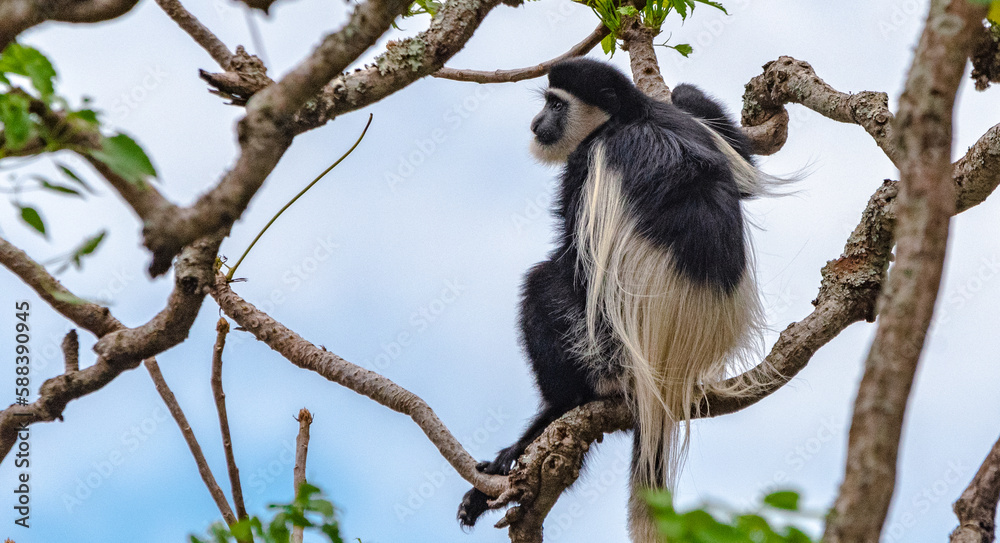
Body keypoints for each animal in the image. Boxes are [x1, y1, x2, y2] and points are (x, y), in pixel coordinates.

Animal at [458, 58, 780, 542]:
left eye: (556, 105)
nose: (535, 124)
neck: (630, 115)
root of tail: (669, 372)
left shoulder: (589, 164)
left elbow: (576, 261)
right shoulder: (694, 128)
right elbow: (744, 175)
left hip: (608, 353)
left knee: (544, 287)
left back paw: (546, 421)